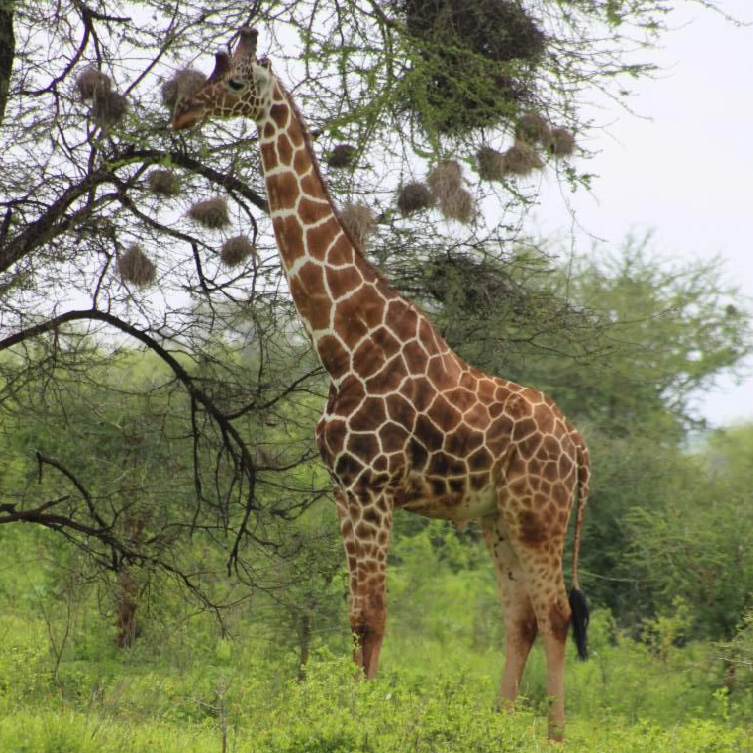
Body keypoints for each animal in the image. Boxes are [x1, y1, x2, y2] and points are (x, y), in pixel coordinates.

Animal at [170, 26, 588, 736]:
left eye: (234, 81)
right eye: (210, 70)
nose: (181, 112)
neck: (344, 343)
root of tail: (581, 450)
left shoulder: (373, 487)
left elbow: (373, 619)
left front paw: (360, 719)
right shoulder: (343, 487)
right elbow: (356, 616)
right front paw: (347, 709)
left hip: (539, 513)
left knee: (556, 615)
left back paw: (554, 736)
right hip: (496, 517)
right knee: (522, 618)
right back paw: (499, 725)